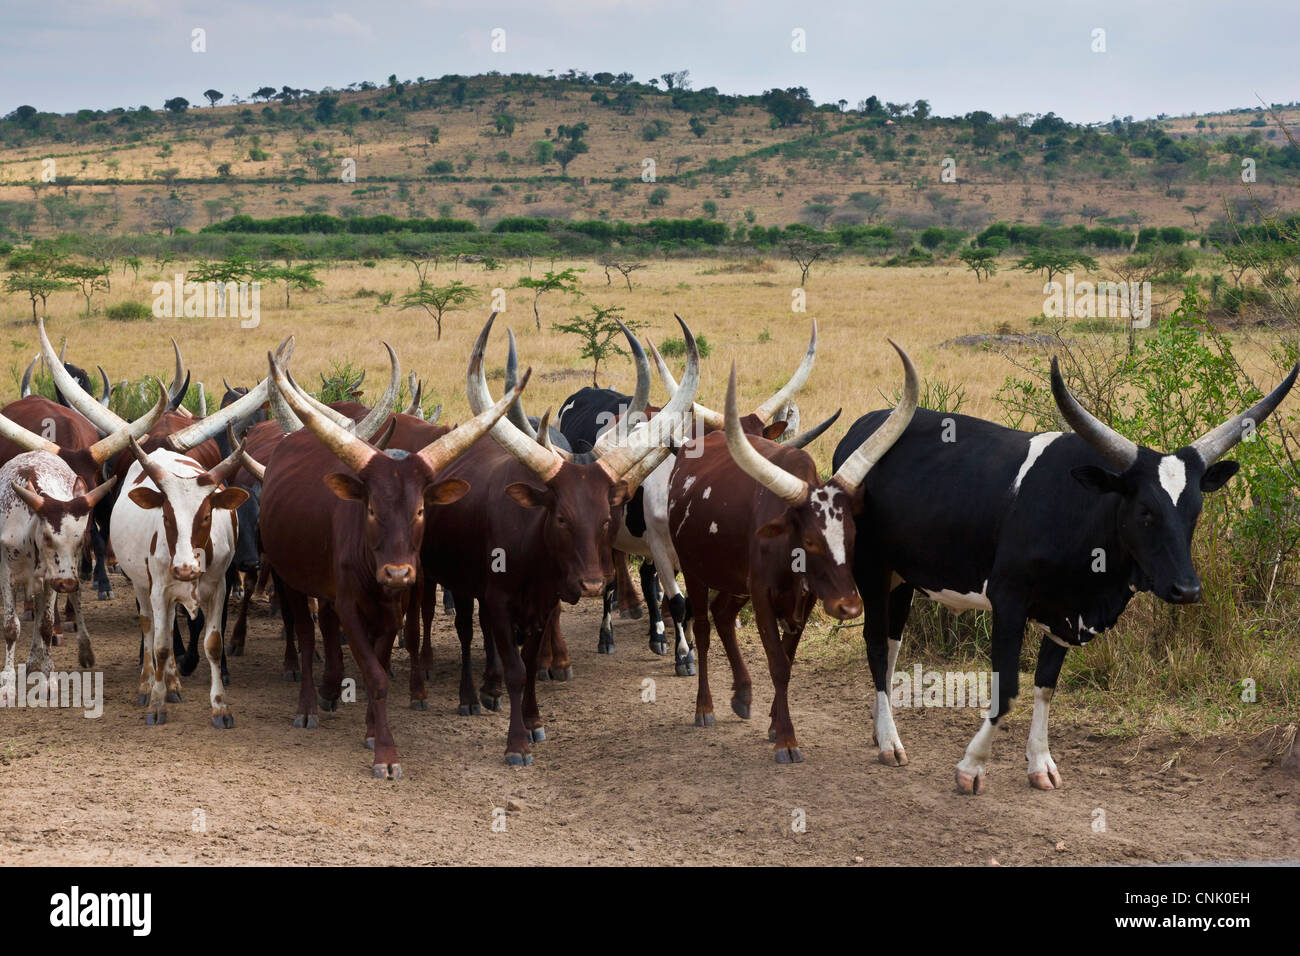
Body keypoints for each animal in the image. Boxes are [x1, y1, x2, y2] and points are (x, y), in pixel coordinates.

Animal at [256, 343, 530, 780]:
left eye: (420, 510)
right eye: (370, 509)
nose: (398, 572)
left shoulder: (395, 607)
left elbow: (380, 667)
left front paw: (371, 730)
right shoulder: (349, 606)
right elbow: (374, 674)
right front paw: (385, 752)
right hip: (293, 581)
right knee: (305, 635)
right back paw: (308, 706)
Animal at [416, 316, 702, 770]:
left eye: (607, 516)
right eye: (561, 516)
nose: (590, 582)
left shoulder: (549, 596)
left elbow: (532, 657)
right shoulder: (497, 598)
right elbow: (511, 660)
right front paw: (514, 737)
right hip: (461, 582)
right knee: (466, 629)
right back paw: (476, 692)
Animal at [665, 343, 920, 764]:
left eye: (853, 535)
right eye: (811, 540)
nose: (850, 606)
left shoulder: (807, 597)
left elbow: (788, 657)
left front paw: (773, 723)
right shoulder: (763, 596)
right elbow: (778, 665)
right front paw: (786, 739)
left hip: (735, 580)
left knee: (722, 614)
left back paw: (743, 694)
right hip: (695, 569)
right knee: (701, 628)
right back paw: (705, 707)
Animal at [837, 356, 1294, 790]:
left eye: (1194, 512)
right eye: (1145, 512)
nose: (1187, 589)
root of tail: (864, 424)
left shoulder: (1066, 614)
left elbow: (1046, 686)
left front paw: (1041, 764)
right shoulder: (1009, 599)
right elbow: (1008, 689)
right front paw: (972, 767)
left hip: (901, 577)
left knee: (891, 644)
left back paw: (880, 730)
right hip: (871, 568)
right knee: (876, 645)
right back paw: (890, 743)